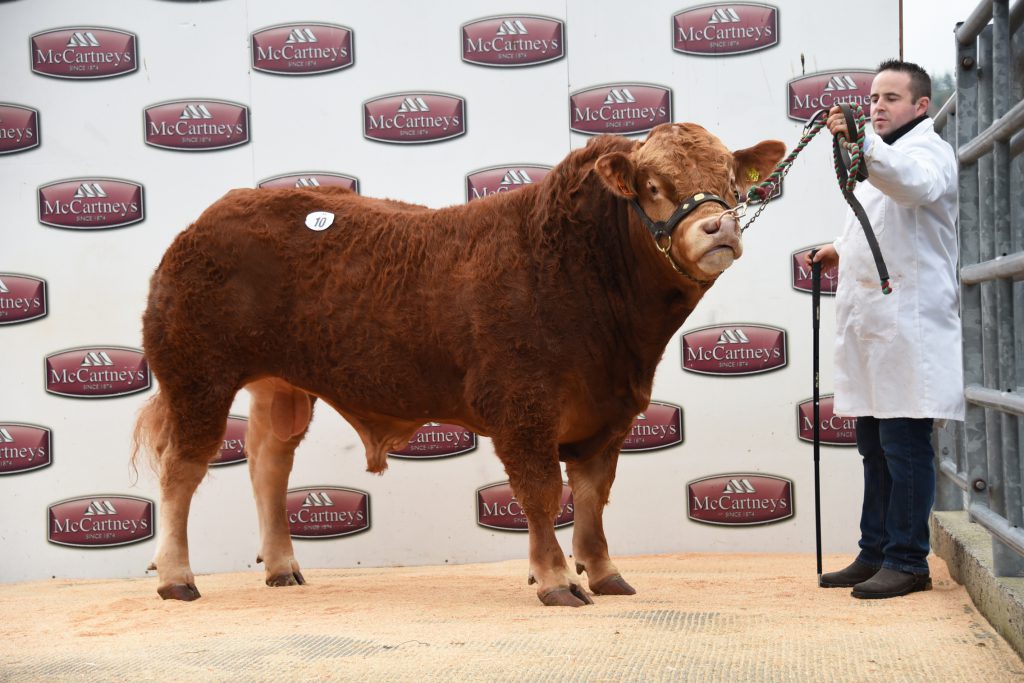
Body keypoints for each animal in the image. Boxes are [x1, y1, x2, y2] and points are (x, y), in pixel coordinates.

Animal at [132, 123, 785, 607]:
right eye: (652, 185)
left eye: (731, 180)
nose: (719, 225)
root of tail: (215, 215)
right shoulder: (523, 408)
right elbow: (542, 493)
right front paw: (556, 580)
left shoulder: (611, 414)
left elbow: (593, 498)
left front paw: (604, 574)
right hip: (197, 374)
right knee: (182, 468)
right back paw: (176, 578)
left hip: (281, 384)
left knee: (268, 462)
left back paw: (282, 567)